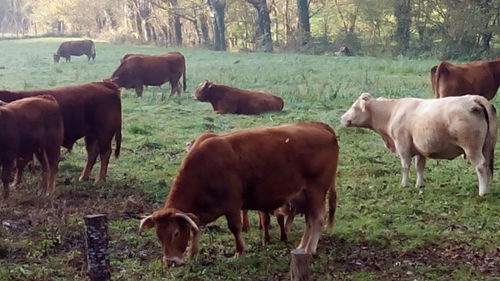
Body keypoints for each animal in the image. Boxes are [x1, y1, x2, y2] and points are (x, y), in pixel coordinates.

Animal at [140, 121, 340, 264]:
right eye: (159, 236)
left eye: (175, 233)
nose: (171, 261)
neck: (205, 166)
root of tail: (321, 127)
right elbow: (196, 227)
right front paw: (192, 253)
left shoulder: (232, 204)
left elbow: (234, 228)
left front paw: (239, 251)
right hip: (304, 196)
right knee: (309, 221)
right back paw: (302, 246)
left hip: (316, 191)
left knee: (317, 219)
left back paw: (310, 249)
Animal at [340, 93, 496, 196]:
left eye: (354, 107)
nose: (342, 118)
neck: (392, 112)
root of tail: (474, 98)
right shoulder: (420, 148)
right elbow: (419, 166)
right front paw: (420, 184)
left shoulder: (402, 145)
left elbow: (405, 165)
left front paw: (404, 184)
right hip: (487, 146)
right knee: (487, 166)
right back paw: (488, 188)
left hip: (472, 148)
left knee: (481, 165)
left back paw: (483, 192)